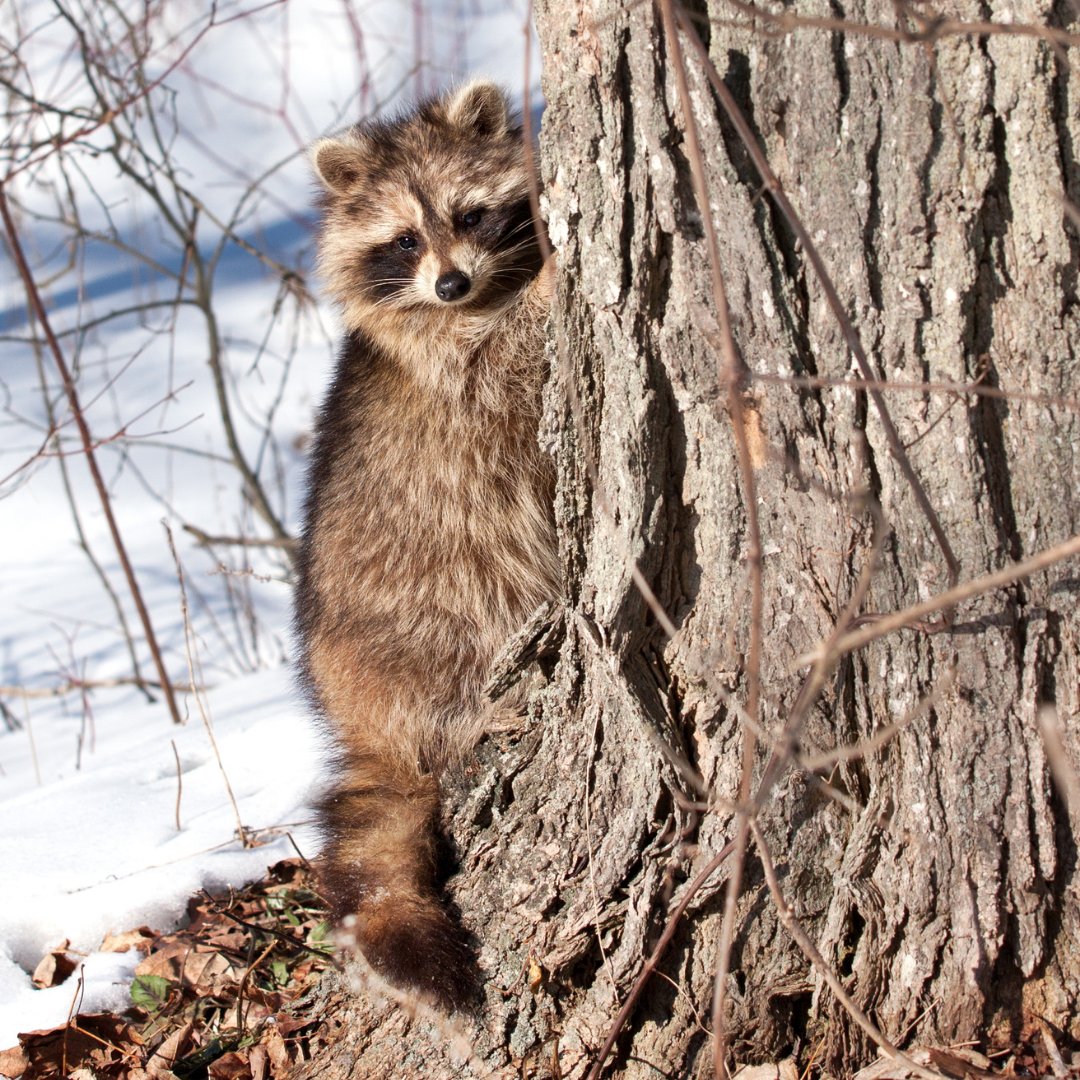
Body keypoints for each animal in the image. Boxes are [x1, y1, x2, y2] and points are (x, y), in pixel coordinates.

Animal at [294, 81, 559, 1008]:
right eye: (403, 239)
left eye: (469, 214)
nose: (449, 282)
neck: (475, 298)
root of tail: (358, 718)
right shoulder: (451, 367)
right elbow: (509, 363)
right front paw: (552, 286)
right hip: (420, 616)